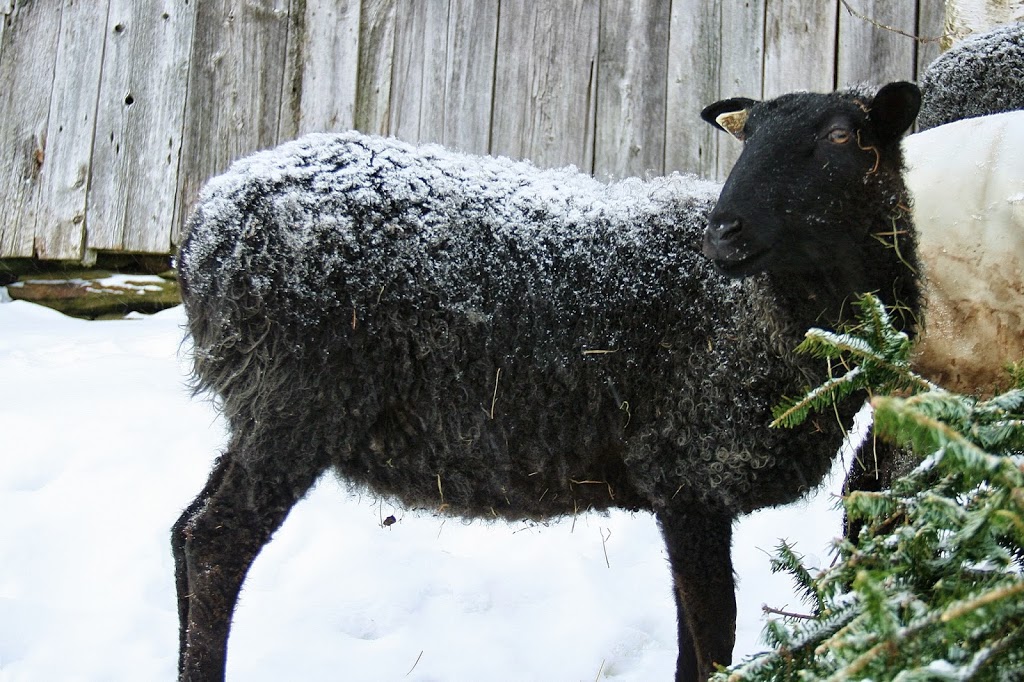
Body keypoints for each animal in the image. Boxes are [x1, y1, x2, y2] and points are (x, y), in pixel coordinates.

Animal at [173, 81, 924, 681]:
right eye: (747, 137)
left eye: (840, 136)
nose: (723, 232)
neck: (763, 313)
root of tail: (208, 219)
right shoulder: (688, 473)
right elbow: (712, 639)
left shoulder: (688, 489)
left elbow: (701, 638)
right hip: (294, 402)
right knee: (215, 544)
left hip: (261, 407)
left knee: (186, 532)